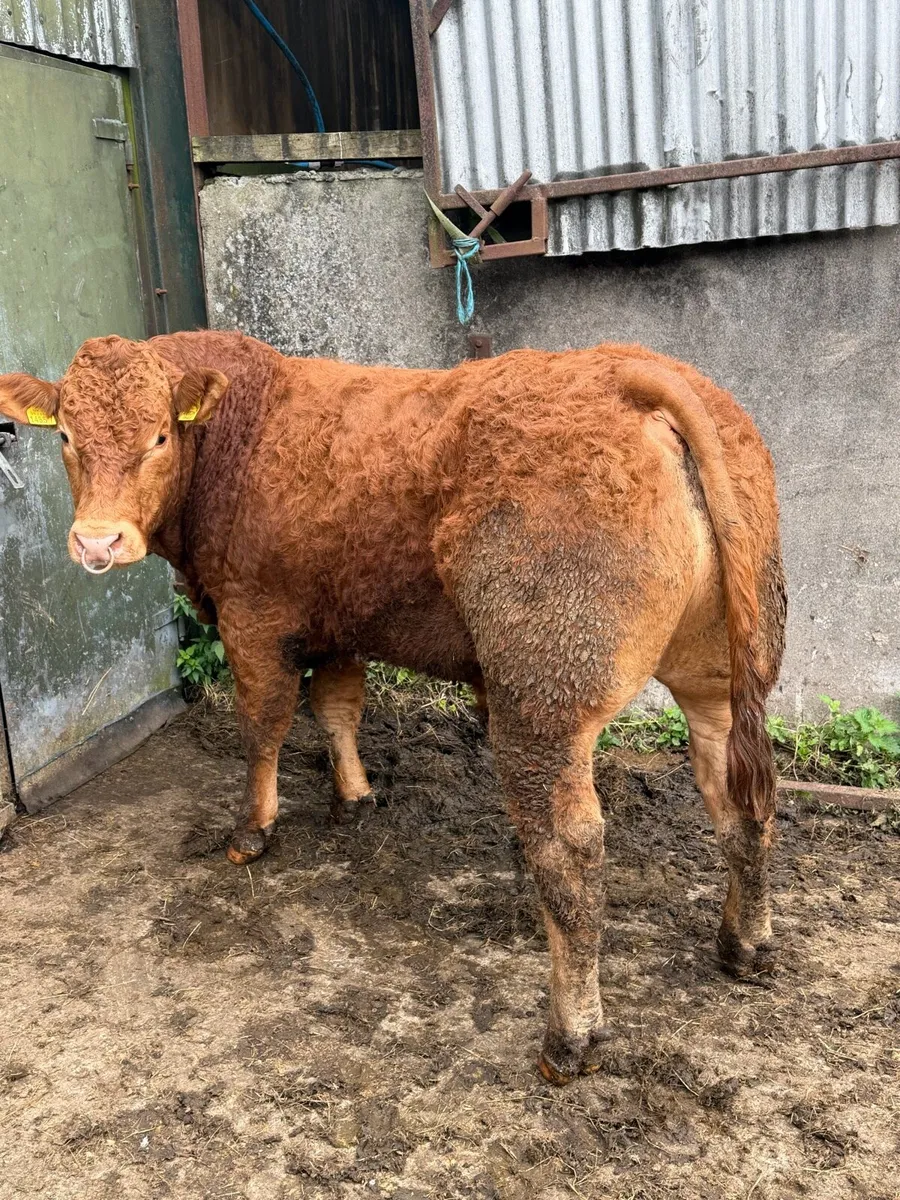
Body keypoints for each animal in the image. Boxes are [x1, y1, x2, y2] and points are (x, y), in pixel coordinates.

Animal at [0, 333, 785, 1084]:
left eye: (160, 434)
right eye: (65, 434)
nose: (97, 541)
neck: (241, 435)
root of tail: (631, 372)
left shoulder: (255, 614)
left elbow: (263, 723)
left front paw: (252, 830)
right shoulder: (337, 618)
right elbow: (337, 707)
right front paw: (355, 797)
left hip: (543, 695)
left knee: (571, 848)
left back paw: (571, 1039)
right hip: (721, 672)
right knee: (739, 798)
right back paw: (745, 944)